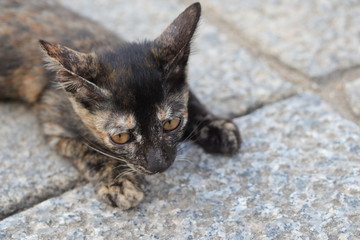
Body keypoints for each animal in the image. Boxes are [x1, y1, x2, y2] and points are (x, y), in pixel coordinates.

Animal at [0, 0, 242, 209]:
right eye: (121, 137)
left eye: (171, 124)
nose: (158, 166)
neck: (97, 43)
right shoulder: (52, 120)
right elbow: (90, 152)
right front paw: (119, 182)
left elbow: (191, 98)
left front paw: (217, 125)